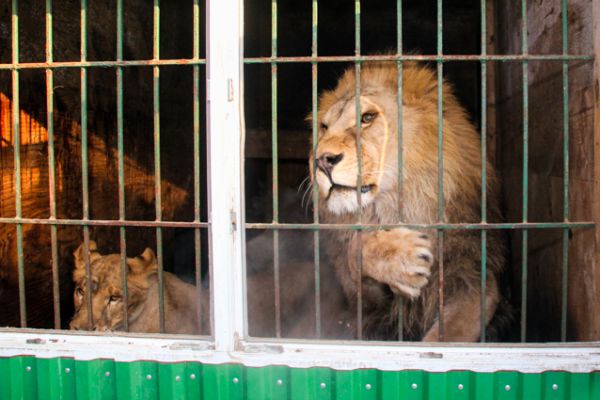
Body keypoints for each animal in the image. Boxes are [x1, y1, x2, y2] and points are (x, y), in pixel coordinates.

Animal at [312, 61, 504, 340]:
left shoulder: (474, 280)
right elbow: (356, 250)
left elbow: (444, 338)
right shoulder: (368, 308)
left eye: (367, 118)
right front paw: (403, 259)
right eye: (324, 127)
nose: (322, 160)